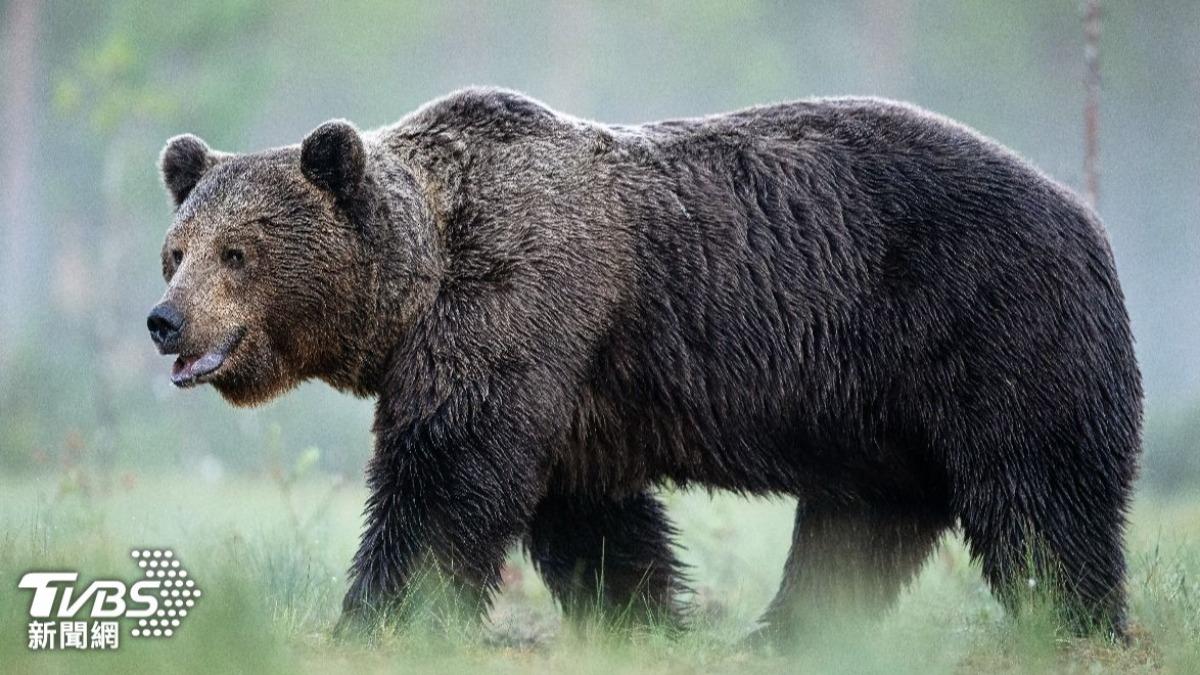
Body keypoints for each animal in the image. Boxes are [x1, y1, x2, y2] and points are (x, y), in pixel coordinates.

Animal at [149, 87, 1142, 643]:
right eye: (176, 250)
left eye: (238, 252)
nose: (165, 321)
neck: (419, 280)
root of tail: (1086, 213)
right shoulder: (569, 384)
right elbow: (588, 514)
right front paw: (643, 613)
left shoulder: (520, 303)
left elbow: (442, 477)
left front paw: (376, 613)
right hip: (881, 412)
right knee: (862, 522)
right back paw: (782, 632)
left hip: (987, 324)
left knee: (1038, 493)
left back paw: (1075, 617)